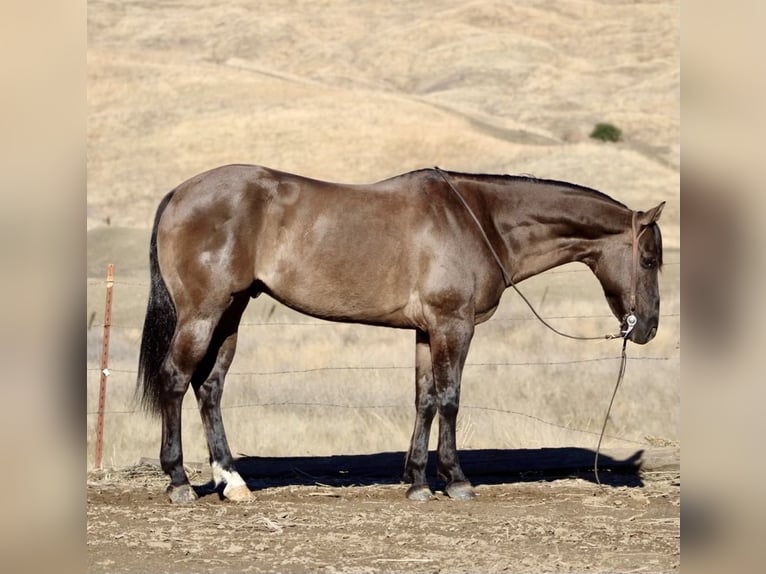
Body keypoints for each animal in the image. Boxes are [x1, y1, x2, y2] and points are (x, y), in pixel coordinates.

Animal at [140, 165, 664, 504]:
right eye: (649, 259)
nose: (649, 327)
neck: (479, 219)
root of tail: (179, 193)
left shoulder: (426, 331)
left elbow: (425, 400)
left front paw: (417, 482)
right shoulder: (454, 325)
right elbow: (450, 399)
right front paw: (456, 480)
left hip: (231, 313)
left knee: (210, 388)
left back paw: (233, 482)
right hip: (203, 314)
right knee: (175, 381)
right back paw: (179, 482)